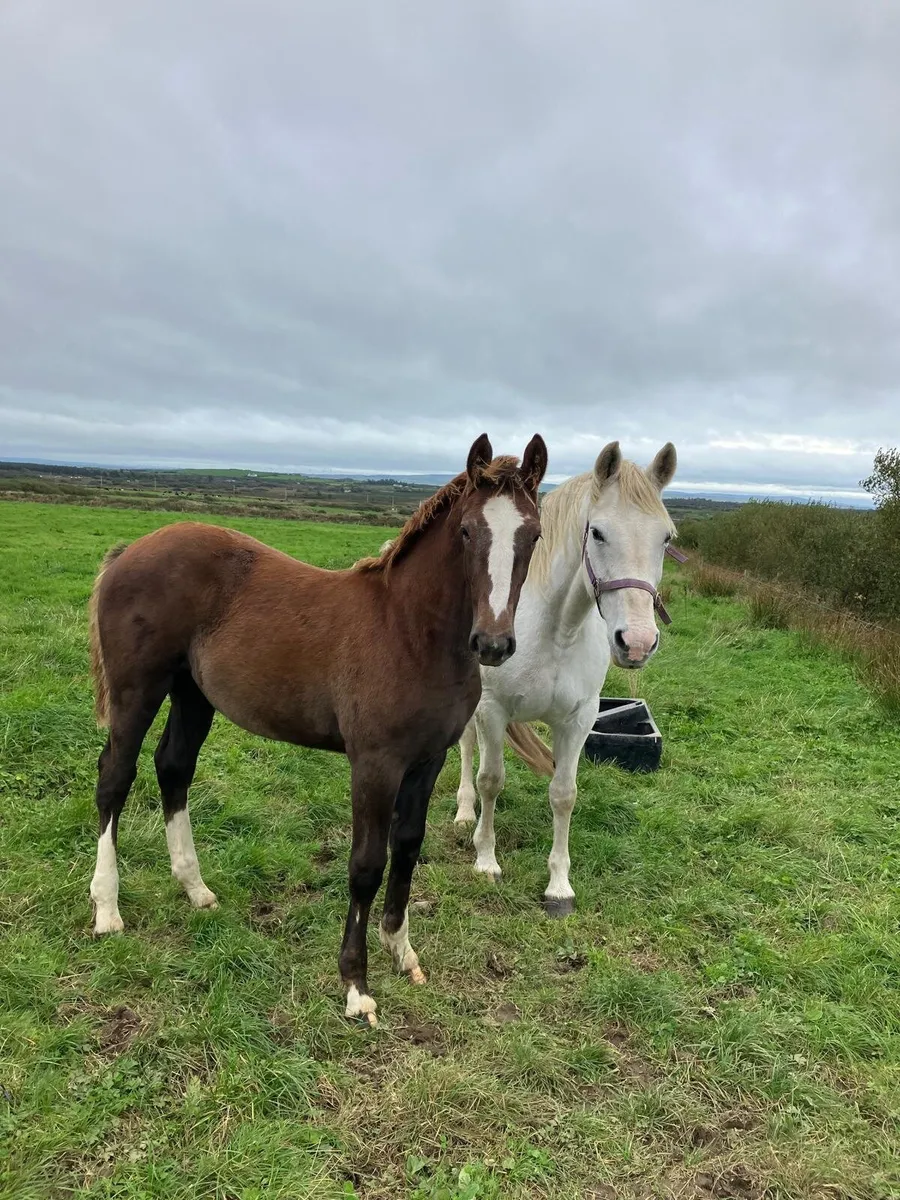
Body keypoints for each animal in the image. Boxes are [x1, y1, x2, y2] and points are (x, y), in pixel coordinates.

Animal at [87, 432, 547, 1025]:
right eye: (468, 530)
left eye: (532, 534)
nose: (492, 644)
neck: (409, 631)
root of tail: (131, 551)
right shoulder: (375, 763)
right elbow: (367, 864)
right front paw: (356, 984)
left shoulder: (428, 760)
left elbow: (408, 846)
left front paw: (401, 949)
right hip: (137, 691)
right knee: (114, 779)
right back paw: (107, 908)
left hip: (192, 693)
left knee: (174, 768)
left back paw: (196, 889)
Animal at [453, 440, 678, 915]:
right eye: (598, 533)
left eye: (666, 538)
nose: (637, 642)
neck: (556, 630)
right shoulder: (492, 710)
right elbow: (490, 781)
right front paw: (486, 860)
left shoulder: (578, 719)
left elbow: (564, 794)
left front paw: (559, 886)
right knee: (466, 748)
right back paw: (464, 814)